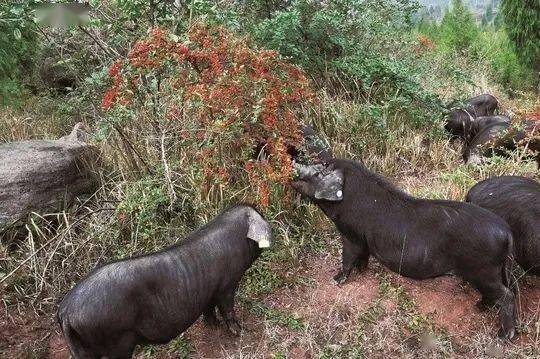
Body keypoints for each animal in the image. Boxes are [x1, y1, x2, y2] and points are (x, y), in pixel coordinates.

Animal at [57, 205, 272, 359]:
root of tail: (66, 312)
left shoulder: (209, 290)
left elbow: (208, 308)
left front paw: (213, 325)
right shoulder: (227, 284)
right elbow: (228, 307)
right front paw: (240, 332)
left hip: (83, 349)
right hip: (117, 341)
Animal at [294, 160, 516, 340]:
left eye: (319, 171)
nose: (294, 169)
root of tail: (506, 232)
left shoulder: (351, 236)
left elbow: (346, 257)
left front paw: (335, 280)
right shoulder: (364, 241)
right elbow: (363, 256)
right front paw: (362, 271)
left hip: (483, 271)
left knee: (507, 296)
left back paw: (503, 336)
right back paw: (479, 307)